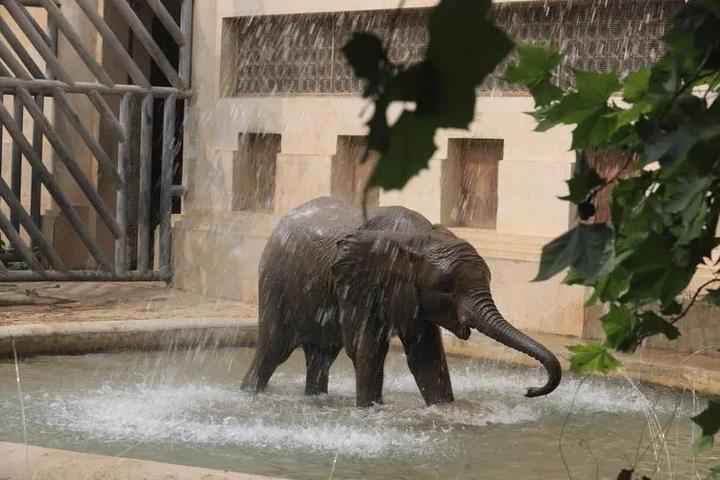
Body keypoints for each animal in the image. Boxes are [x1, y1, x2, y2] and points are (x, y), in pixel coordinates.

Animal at [242, 197, 564, 406]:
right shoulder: (354, 283)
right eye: (446, 288)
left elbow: (426, 355)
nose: (529, 390)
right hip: (276, 283)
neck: (417, 238)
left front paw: (445, 411)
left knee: (322, 356)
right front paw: (370, 411)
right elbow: (366, 349)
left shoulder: (412, 294)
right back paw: (248, 394)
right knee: (272, 350)